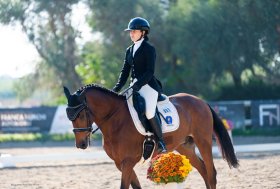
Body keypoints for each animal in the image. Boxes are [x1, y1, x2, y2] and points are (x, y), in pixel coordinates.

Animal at [63, 84, 238, 189]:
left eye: (81, 114)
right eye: (69, 116)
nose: (81, 144)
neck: (115, 119)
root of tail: (200, 101)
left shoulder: (128, 161)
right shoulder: (120, 163)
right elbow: (136, 186)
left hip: (203, 141)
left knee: (211, 173)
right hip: (185, 146)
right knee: (203, 171)